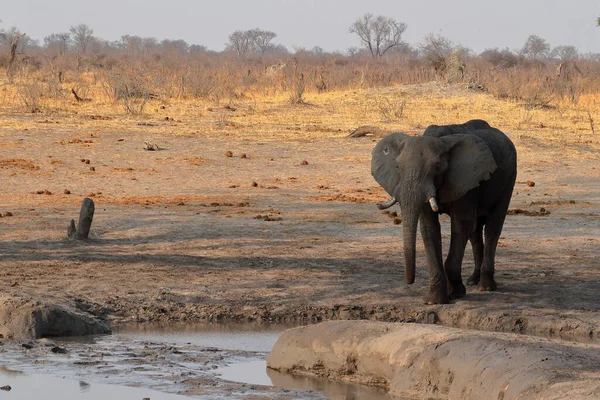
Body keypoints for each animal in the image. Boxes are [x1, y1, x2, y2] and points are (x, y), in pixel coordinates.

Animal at [370, 119, 516, 304]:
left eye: (437, 167)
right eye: (397, 166)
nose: (409, 281)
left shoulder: (465, 179)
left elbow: (461, 225)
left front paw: (456, 293)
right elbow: (429, 228)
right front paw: (434, 300)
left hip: (510, 177)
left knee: (492, 228)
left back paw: (486, 286)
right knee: (475, 232)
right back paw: (473, 281)